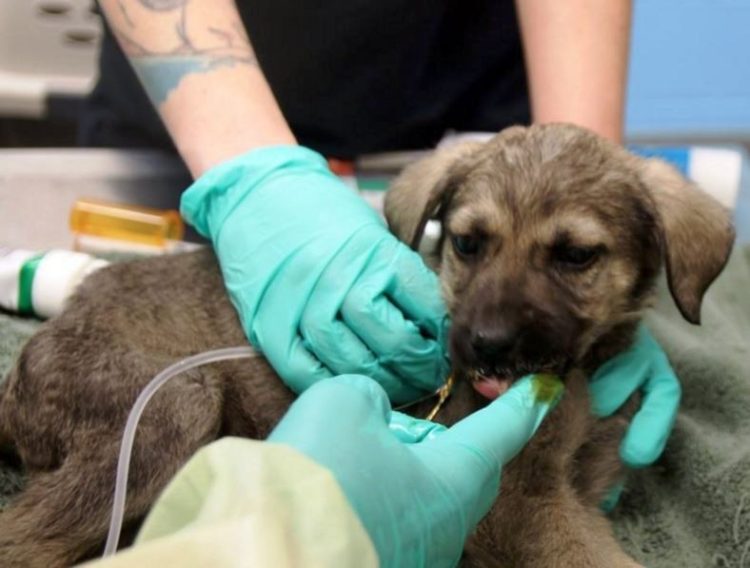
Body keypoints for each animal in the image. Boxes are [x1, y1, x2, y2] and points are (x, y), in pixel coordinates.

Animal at [0, 123, 736, 564]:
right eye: (468, 243)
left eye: (577, 256)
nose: (484, 345)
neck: (584, 369)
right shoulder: (518, 505)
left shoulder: (581, 489)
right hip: (170, 403)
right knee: (25, 538)